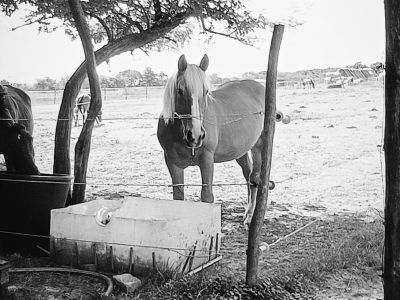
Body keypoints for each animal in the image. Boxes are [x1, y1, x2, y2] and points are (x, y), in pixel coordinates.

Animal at [156, 55, 268, 226]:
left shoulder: (207, 160)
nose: (195, 135)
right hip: (240, 151)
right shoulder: (172, 163)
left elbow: (207, 196)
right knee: (248, 174)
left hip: (258, 145)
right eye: (180, 90)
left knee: (254, 177)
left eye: (206, 91)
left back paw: (250, 215)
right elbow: (178, 197)